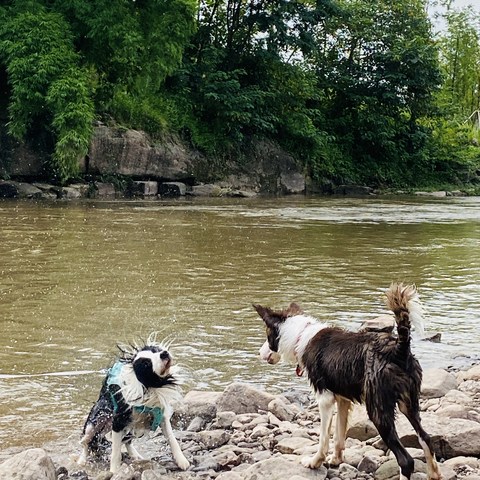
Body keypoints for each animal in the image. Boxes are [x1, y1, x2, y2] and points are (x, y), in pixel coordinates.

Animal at [78, 336, 189, 474]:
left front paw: (182, 460)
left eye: (155, 350)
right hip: (95, 422)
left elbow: (172, 439)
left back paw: (135, 455)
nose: (164, 353)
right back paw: (81, 461)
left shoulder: (161, 416)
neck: (150, 388)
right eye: (146, 364)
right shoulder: (118, 421)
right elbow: (115, 452)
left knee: (127, 441)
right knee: (86, 442)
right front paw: (114, 471)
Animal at [255, 282, 442, 480]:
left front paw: (314, 462)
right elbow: (339, 435)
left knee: (406, 460)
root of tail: (399, 349)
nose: (259, 353)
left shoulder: (325, 399)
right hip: (409, 403)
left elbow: (323, 438)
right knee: (426, 438)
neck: (300, 336)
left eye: (267, 336)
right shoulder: (342, 399)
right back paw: (434, 474)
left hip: (378, 410)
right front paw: (336, 460)